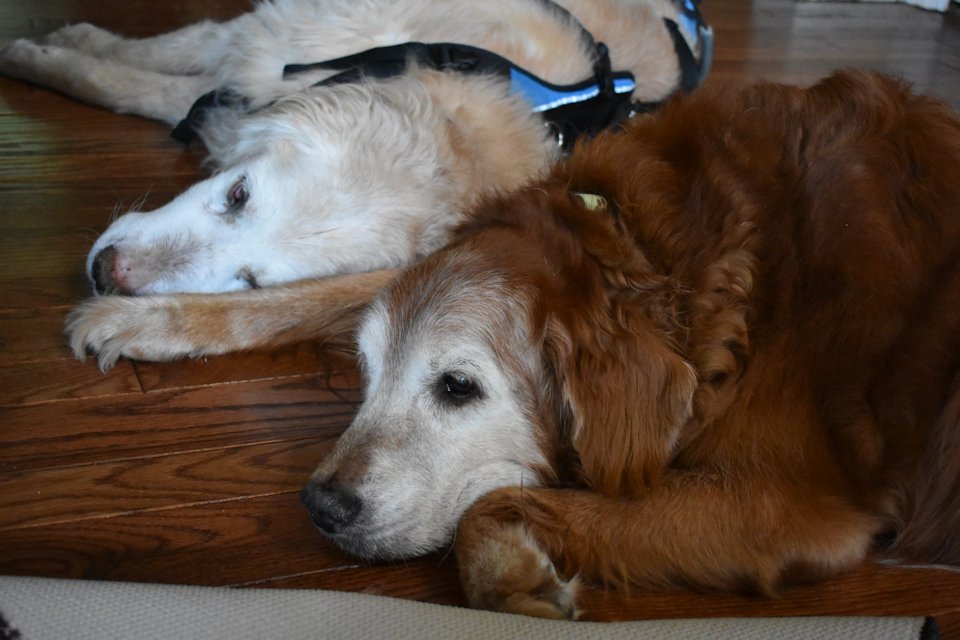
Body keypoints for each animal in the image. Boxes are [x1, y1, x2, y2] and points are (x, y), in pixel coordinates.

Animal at [0, 0, 704, 296]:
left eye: (250, 280)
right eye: (238, 194)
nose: (106, 274)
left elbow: (136, 85)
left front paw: (42, 54)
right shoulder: (276, 35)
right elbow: (147, 56)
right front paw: (50, 44)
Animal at [69, 72, 960, 616]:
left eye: (459, 388)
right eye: (366, 370)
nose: (320, 508)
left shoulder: (791, 507)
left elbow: (488, 504)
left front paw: (512, 575)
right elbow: (318, 294)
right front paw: (144, 320)